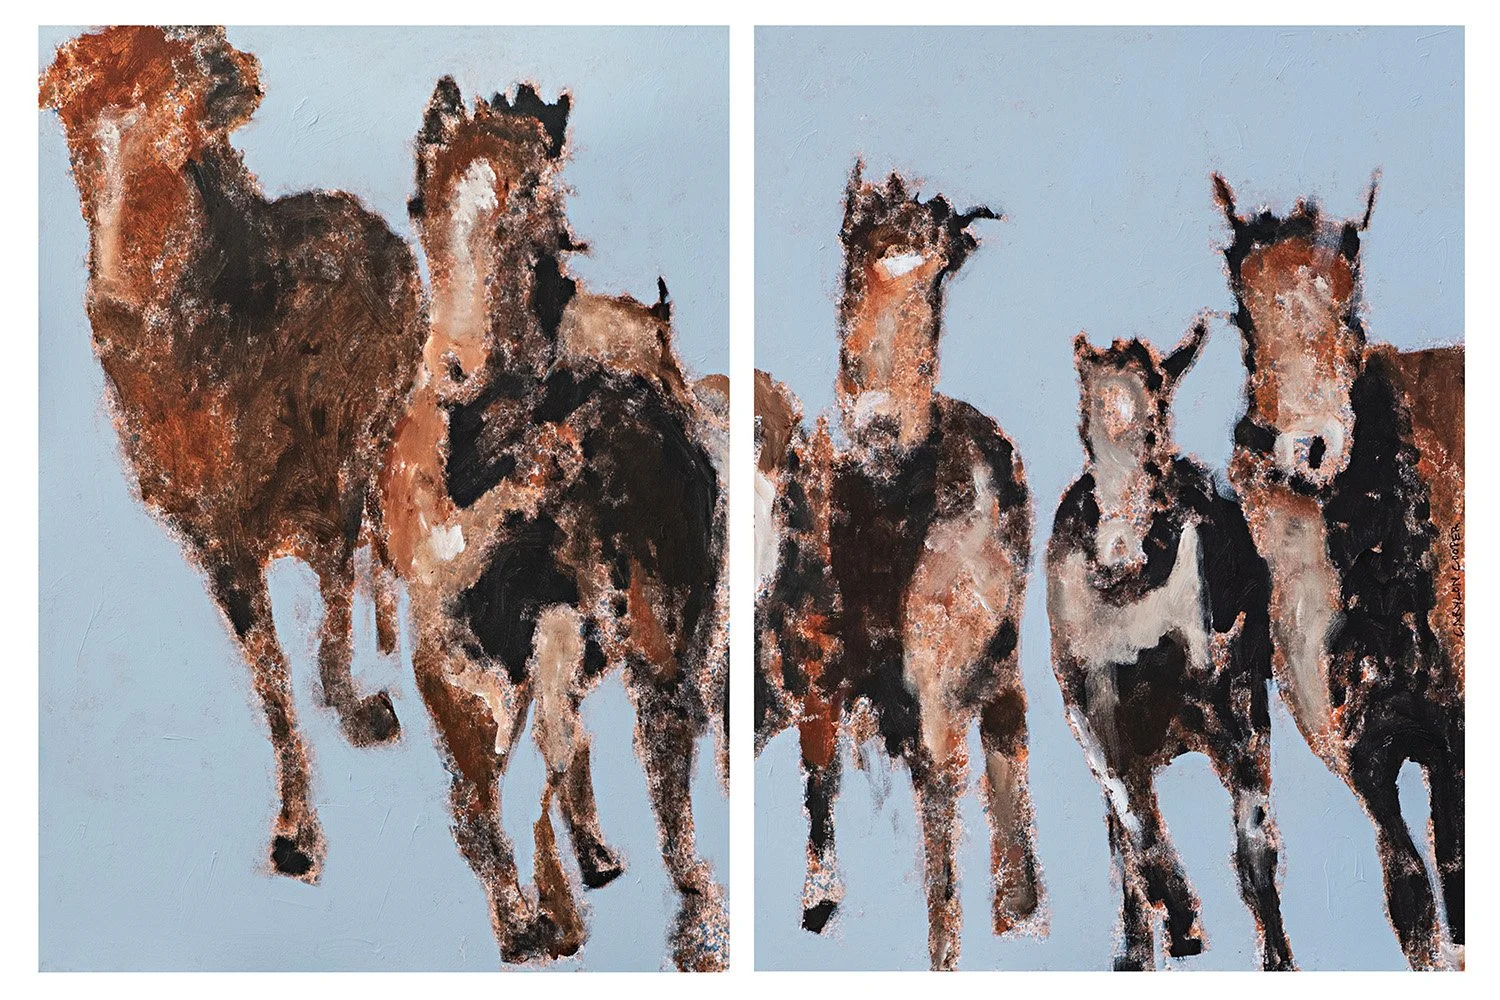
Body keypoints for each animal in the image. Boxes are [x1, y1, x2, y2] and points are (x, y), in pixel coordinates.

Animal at [40, 26, 424, 883]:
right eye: (101, 73)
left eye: (199, 50)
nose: (234, 74)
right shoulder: (215, 542)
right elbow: (273, 681)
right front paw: (295, 829)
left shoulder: (326, 491)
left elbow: (328, 632)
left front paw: (357, 715)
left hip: (378, 429)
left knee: (375, 543)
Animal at [778, 164, 1041, 970]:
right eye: (858, 240)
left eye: (940, 248)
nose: (877, 422)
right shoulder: (815, 669)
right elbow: (820, 775)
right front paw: (819, 901)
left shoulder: (936, 697)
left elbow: (941, 832)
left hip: (996, 664)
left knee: (1004, 756)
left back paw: (1020, 911)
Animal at [1046, 322, 1295, 970]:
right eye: (1084, 422)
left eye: (1159, 415)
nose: (1123, 552)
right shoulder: (1088, 708)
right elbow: (1133, 822)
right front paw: (1172, 924)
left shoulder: (1216, 698)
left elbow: (1248, 839)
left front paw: (1187, 924)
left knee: (1255, 845)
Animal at [1213, 173, 1464, 969]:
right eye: (1243, 314)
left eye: (1351, 311)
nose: (1307, 449)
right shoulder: (1370, 763)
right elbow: (1413, 901)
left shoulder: (1454, 741)